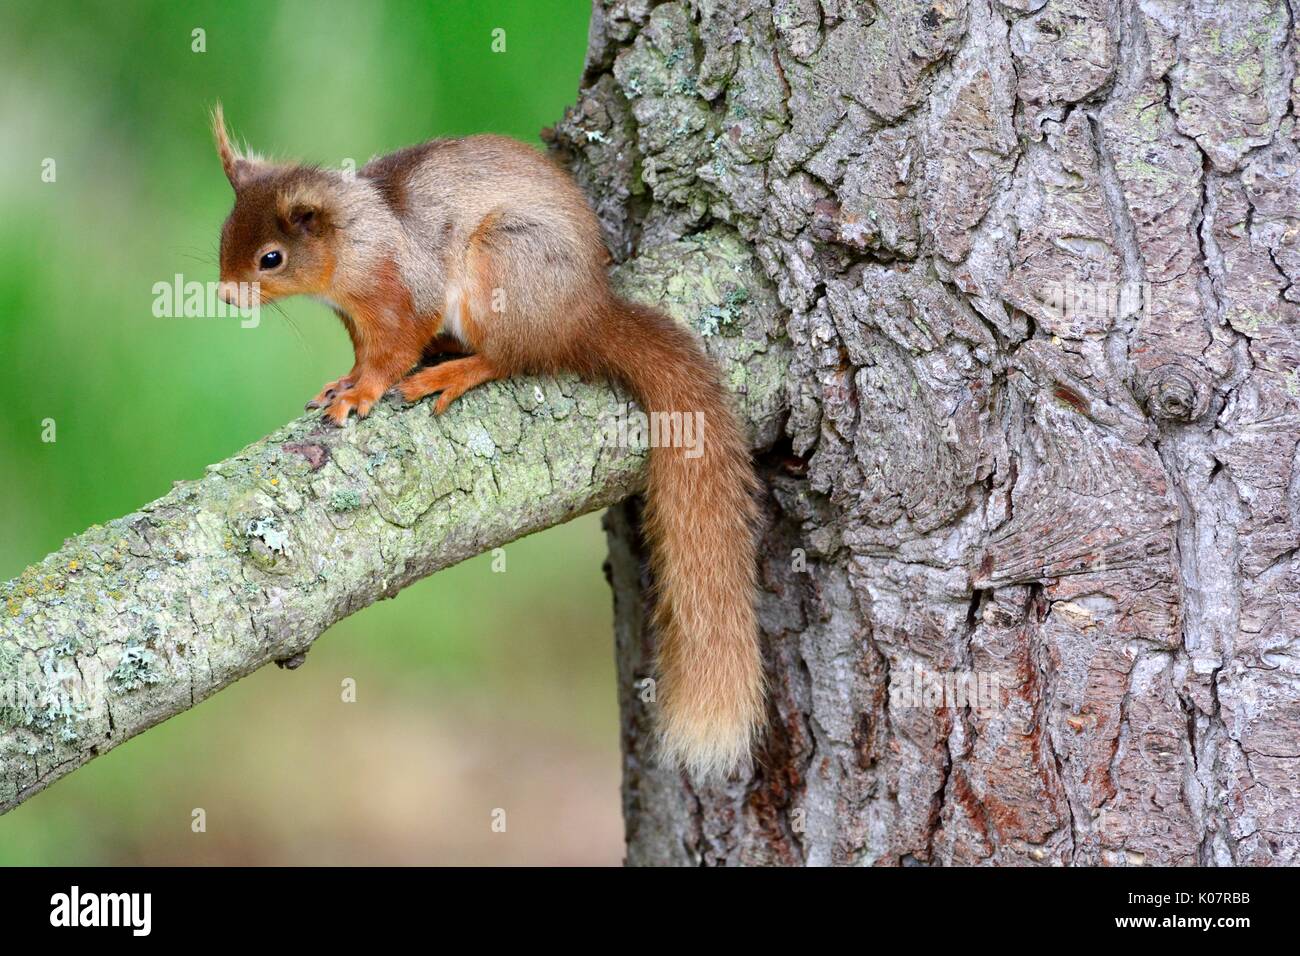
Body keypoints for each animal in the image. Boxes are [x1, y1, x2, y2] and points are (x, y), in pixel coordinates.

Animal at [210, 106, 759, 780]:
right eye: (224, 235)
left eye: (271, 258)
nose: (225, 295)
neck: (354, 242)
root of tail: (583, 317)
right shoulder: (355, 317)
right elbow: (365, 353)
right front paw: (344, 381)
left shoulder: (402, 289)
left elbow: (394, 349)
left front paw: (362, 393)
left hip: (501, 264)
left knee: (511, 356)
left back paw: (455, 370)